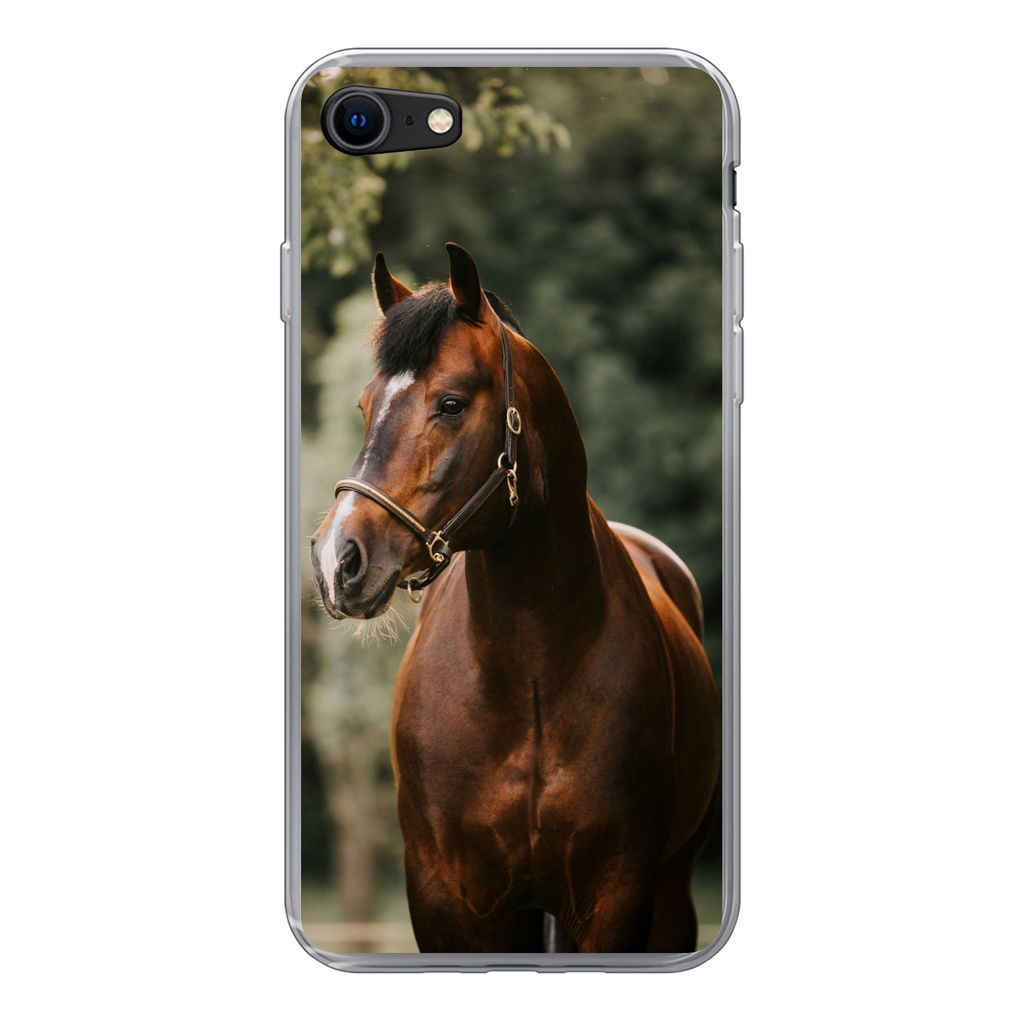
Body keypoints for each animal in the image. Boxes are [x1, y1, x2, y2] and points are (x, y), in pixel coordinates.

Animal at [310, 243, 721, 954]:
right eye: (364, 406)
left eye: (450, 403)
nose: (339, 559)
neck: (529, 671)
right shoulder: (446, 900)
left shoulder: (620, 893)